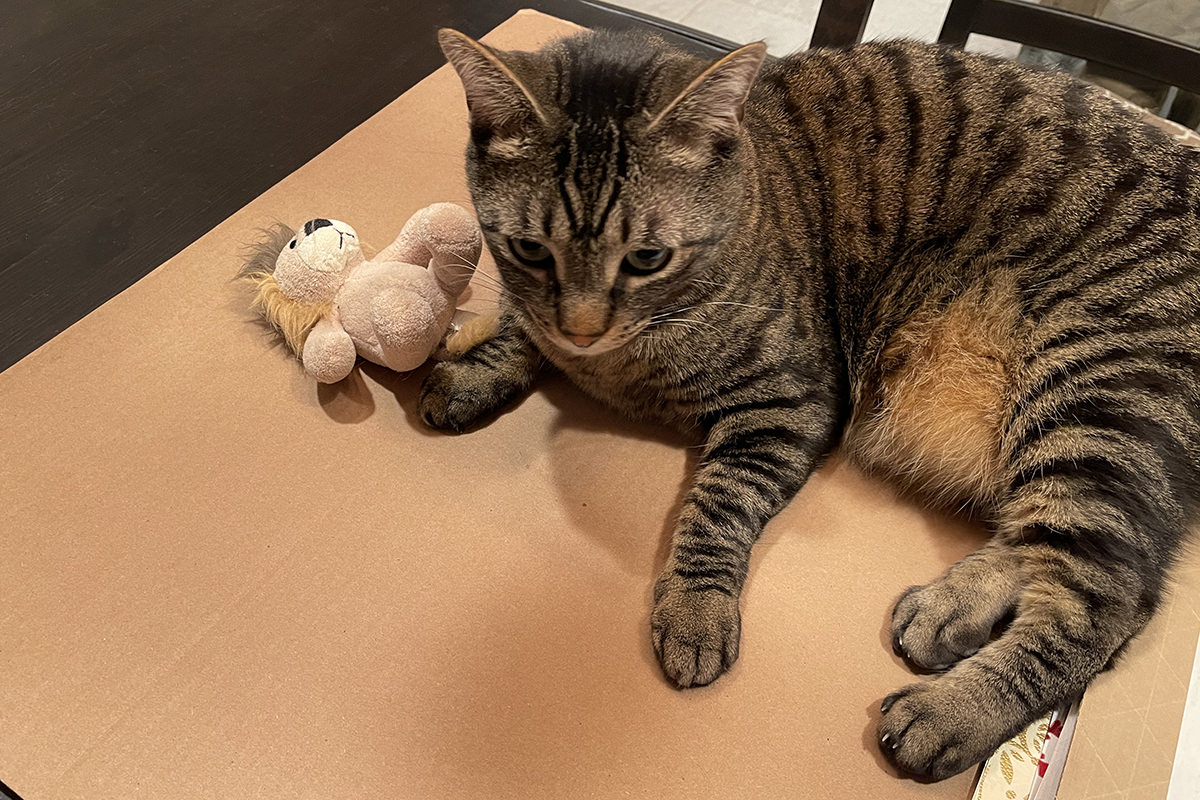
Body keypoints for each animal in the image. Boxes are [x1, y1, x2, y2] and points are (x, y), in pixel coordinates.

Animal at [427, 28, 1195, 777]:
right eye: (530, 249)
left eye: (647, 258)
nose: (583, 329)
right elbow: (521, 329)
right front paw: (469, 374)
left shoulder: (789, 400)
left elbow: (716, 506)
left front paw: (695, 609)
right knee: (1056, 547)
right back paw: (949, 609)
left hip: (1097, 397)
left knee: (1110, 602)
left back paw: (949, 712)